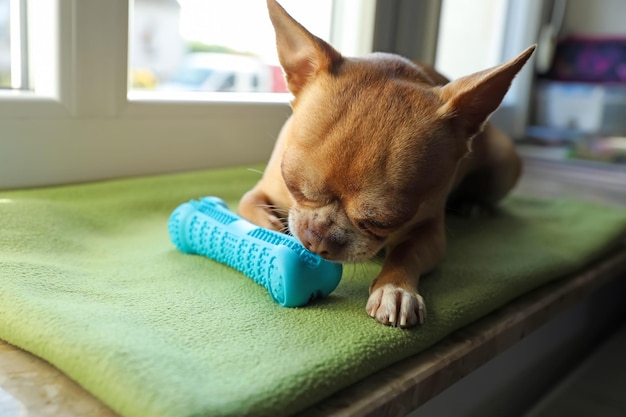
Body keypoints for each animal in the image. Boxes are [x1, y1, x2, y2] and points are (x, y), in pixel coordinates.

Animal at [238, 0, 532, 328]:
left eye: (382, 222)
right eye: (293, 186)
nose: (316, 239)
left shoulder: (429, 230)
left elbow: (406, 251)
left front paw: (396, 289)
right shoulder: (263, 192)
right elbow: (251, 208)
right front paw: (271, 232)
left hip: (504, 166)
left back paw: (476, 205)